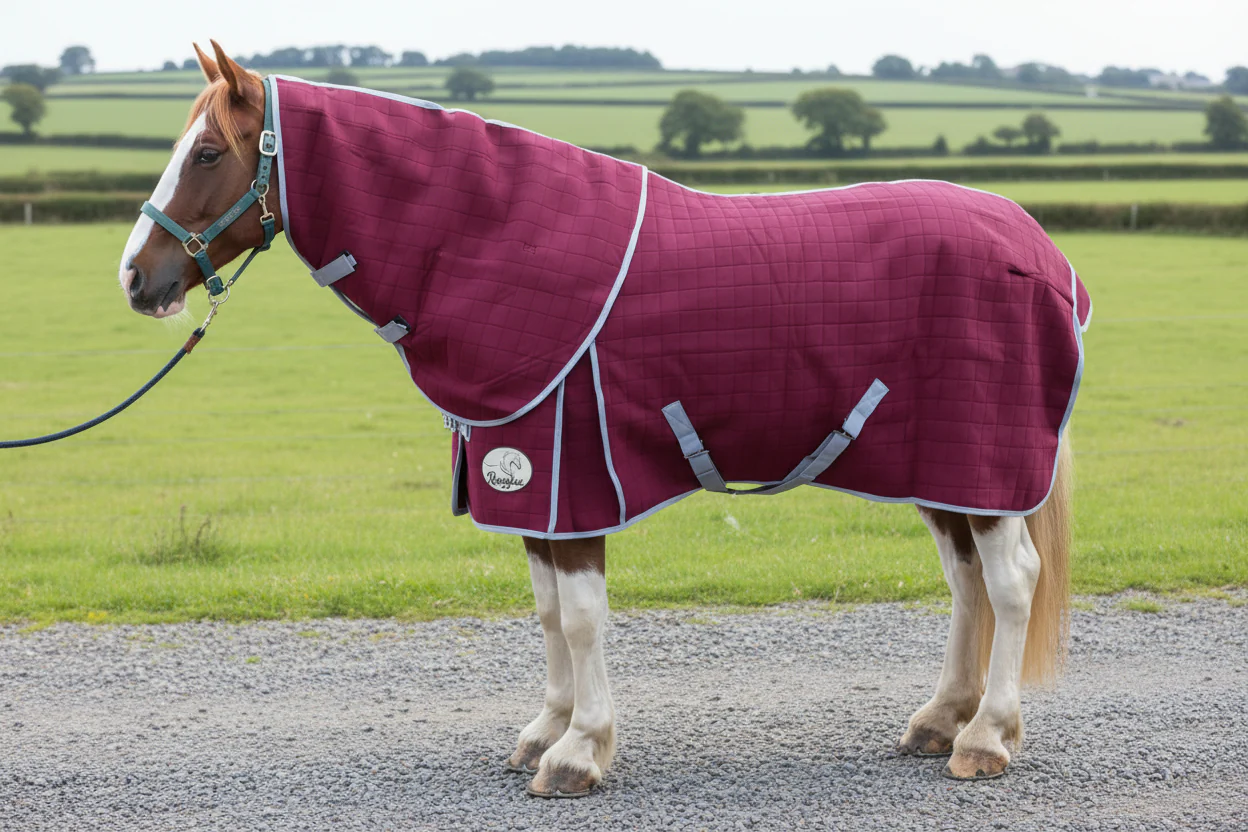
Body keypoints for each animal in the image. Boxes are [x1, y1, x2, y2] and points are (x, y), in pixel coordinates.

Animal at [118, 41, 1089, 797]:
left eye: (207, 153)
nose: (136, 277)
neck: (494, 242)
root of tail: (1043, 254)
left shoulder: (566, 472)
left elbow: (581, 618)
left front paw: (580, 752)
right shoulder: (529, 482)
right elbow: (549, 613)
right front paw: (546, 732)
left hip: (986, 466)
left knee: (1010, 582)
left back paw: (986, 737)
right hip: (949, 469)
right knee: (966, 582)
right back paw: (941, 718)